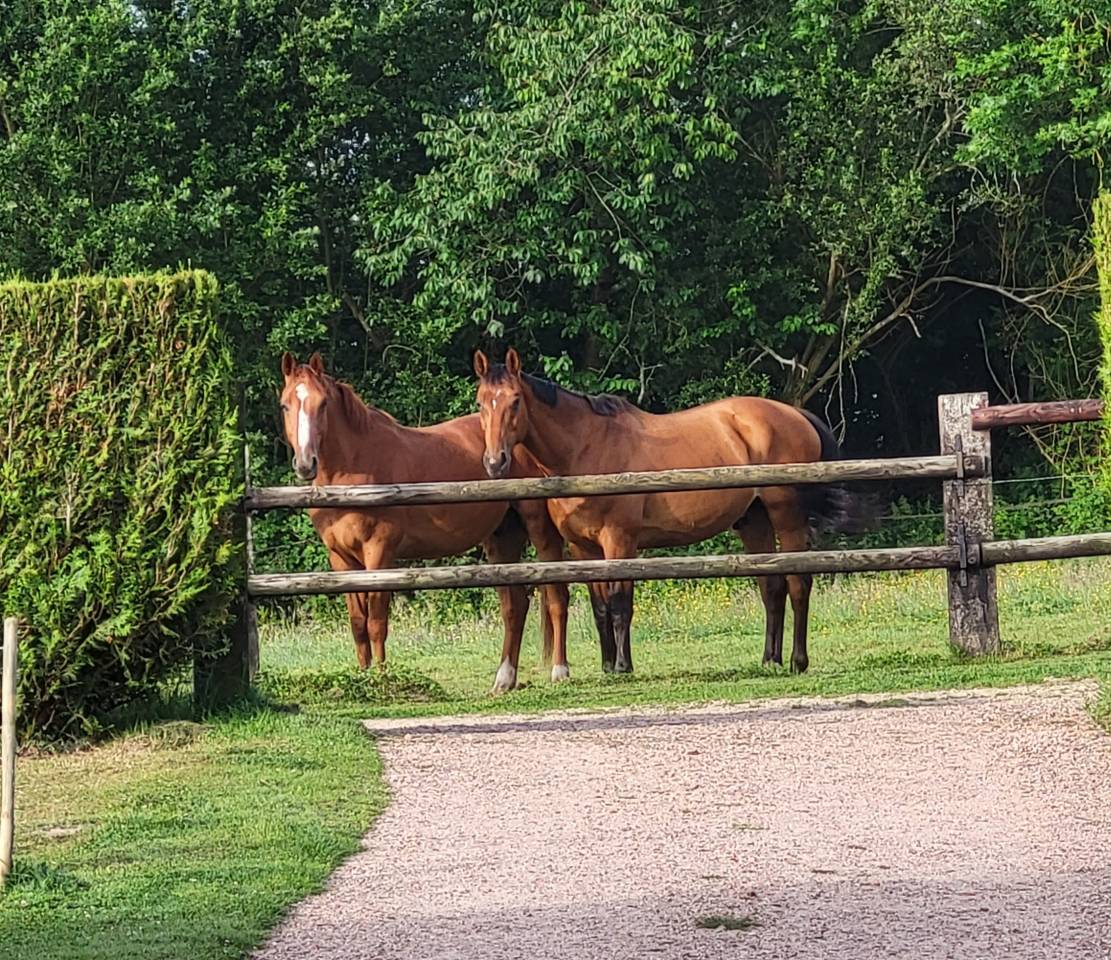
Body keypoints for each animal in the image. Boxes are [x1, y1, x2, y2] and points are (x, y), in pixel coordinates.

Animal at [278, 351, 573, 693]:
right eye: (285, 405)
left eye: (322, 403)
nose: (305, 464)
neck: (352, 470)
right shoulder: (341, 559)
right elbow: (357, 623)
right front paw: (362, 678)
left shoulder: (379, 553)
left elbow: (377, 622)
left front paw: (382, 679)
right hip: (502, 537)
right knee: (514, 607)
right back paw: (504, 678)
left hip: (540, 530)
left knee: (556, 596)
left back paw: (560, 670)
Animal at [473, 347, 867, 676]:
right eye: (481, 403)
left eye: (515, 401)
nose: (495, 462)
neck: (585, 448)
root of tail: (794, 414)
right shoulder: (582, 548)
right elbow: (600, 607)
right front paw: (607, 666)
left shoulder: (620, 541)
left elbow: (620, 603)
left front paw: (623, 666)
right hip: (754, 522)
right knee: (771, 586)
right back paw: (770, 659)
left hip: (786, 516)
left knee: (798, 582)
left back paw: (798, 661)